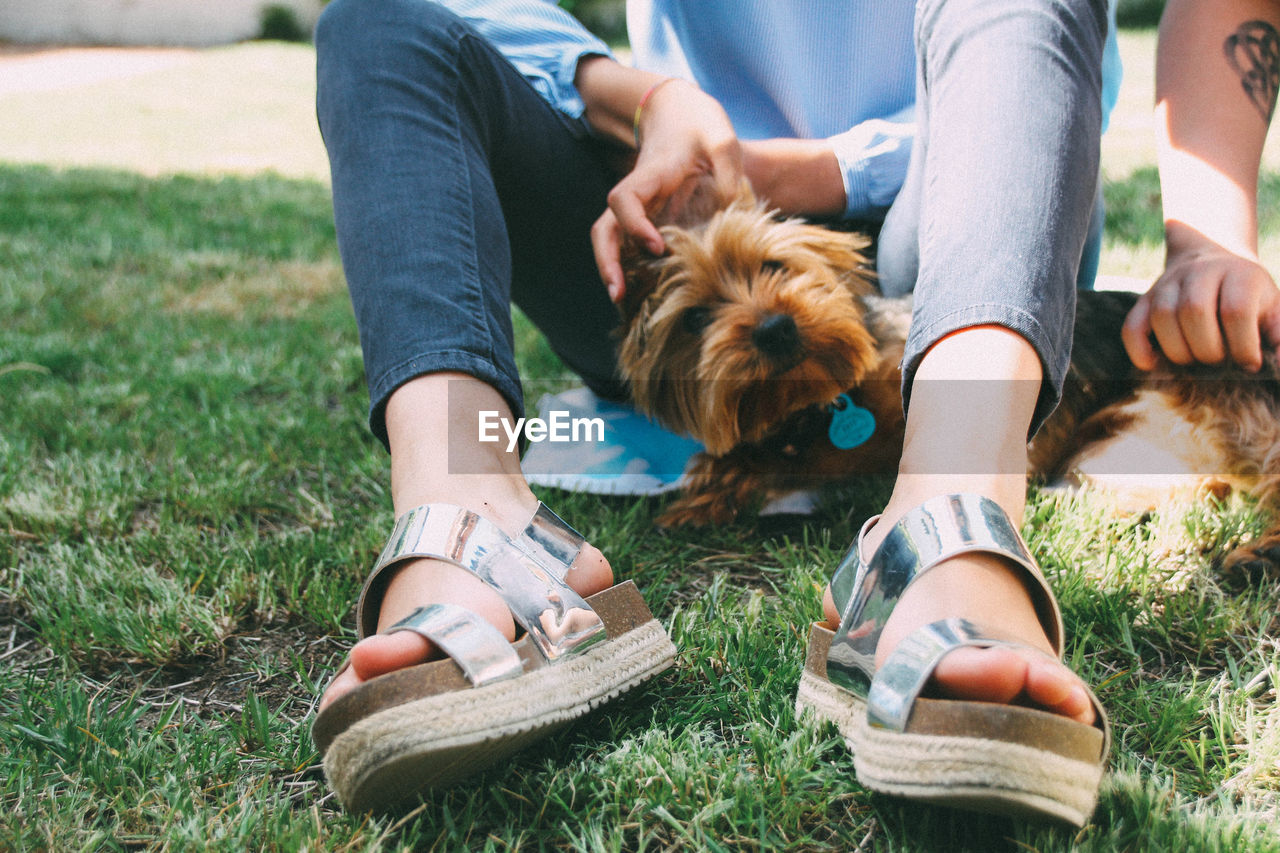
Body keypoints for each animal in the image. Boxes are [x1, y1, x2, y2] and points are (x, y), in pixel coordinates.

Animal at [614, 189, 1280, 568]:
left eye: (774, 266)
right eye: (696, 319)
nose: (776, 329)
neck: (822, 406)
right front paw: (707, 488)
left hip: (1236, 413)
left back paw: (1259, 552)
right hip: (1118, 457)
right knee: (1202, 490)